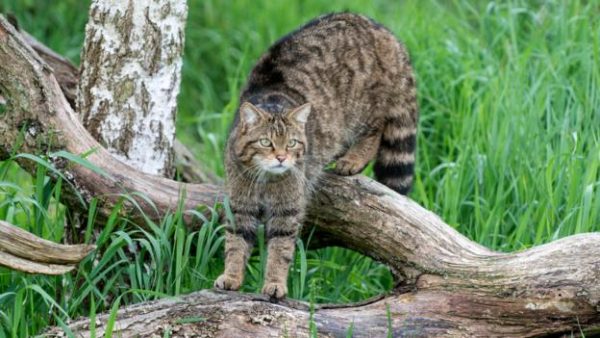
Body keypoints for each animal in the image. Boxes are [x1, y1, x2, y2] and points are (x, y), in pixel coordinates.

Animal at [214, 12, 418, 298]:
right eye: (266, 142)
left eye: (292, 144)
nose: (281, 158)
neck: (265, 179)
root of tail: (377, 27)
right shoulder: (240, 205)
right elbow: (235, 242)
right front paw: (232, 276)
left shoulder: (287, 210)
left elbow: (280, 249)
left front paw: (275, 283)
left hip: (363, 109)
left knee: (376, 129)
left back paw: (352, 160)